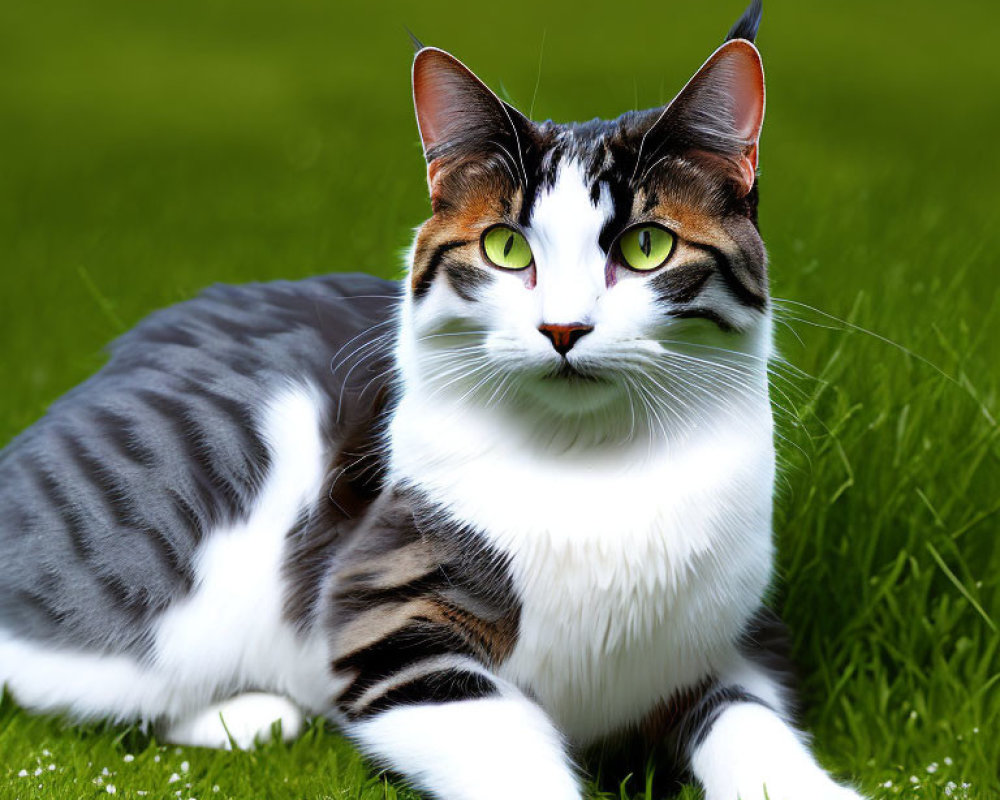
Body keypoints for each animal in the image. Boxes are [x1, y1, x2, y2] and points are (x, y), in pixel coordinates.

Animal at [0, 0, 868, 796]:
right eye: (506, 248)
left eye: (646, 247)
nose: (564, 327)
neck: (594, 465)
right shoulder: (386, 621)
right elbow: (511, 756)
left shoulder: (741, 634)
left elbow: (753, 726)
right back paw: (244, 712)